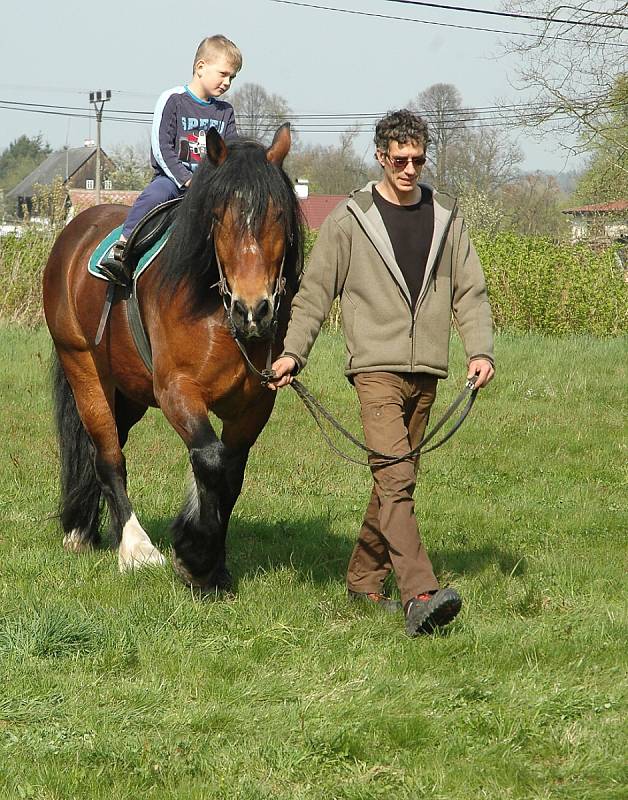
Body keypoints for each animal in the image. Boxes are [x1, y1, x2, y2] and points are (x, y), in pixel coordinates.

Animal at [43, 122, 302, 592]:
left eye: (278, 215)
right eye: (217, 217)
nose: (253, 310)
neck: (214, 308)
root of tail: (76, 230)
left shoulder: (255, 404)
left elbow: (230, 472)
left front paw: (213, 565)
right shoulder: (177, 391)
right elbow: (210, 460)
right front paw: (194, 557)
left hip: (127, 391)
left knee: (104, 447)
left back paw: (87, 530)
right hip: (83, 368)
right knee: (108, 455)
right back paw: (135, 549)